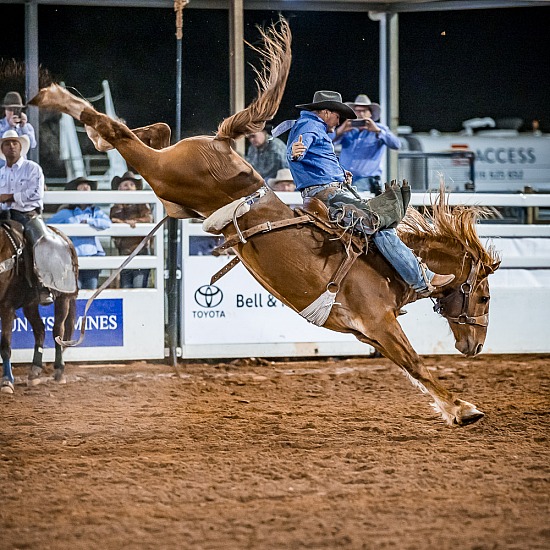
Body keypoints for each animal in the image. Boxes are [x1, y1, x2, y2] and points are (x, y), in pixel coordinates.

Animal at [0, 222, 78, 394]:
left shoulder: (6, 307)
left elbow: (5, 345)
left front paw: (7, 381)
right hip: (30, 304)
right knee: (40, 330)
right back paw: (34, 371)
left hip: (63, 298)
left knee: (58, 330)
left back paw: (59, 371)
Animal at [31, 20, 504, 426]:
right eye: (484, 297)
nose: (475, 346)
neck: (384, 266)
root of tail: (224, 144)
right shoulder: (379, 324)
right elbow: (417, 364)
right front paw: (464, 409)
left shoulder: (369, 335)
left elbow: (410, 370)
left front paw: (453, 407)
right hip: (170, 174)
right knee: (118, 133)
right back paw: (54, 98)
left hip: (174, 191)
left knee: (155, 131)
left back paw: (96, 129)